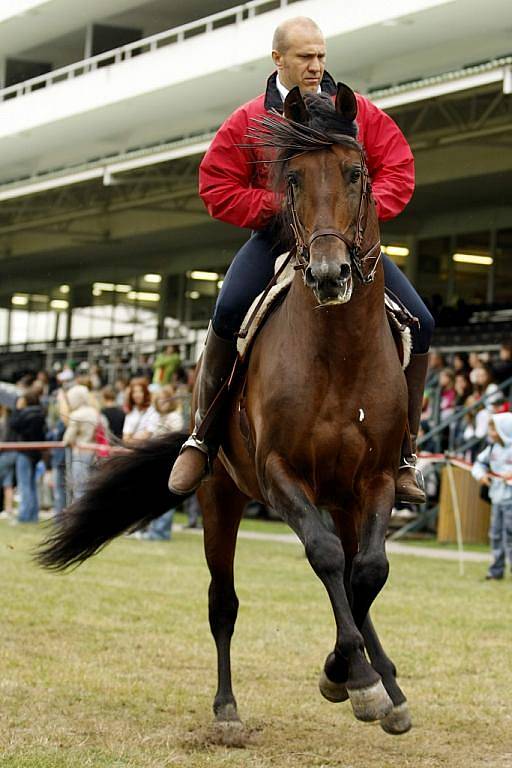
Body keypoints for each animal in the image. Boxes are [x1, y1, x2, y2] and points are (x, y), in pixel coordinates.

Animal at [36, 82, 412, 736]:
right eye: (291, 179)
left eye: (357, 171)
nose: (329, 273)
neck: (339, 353)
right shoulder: (279, 474)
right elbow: (324, 556)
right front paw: (350, 677)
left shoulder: (377, 478)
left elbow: (366, 571)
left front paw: (362, 678)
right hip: (221, 496)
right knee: (224, 602)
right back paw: (228, 709)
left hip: (341, 498)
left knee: (356, 572)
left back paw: (384, 681)